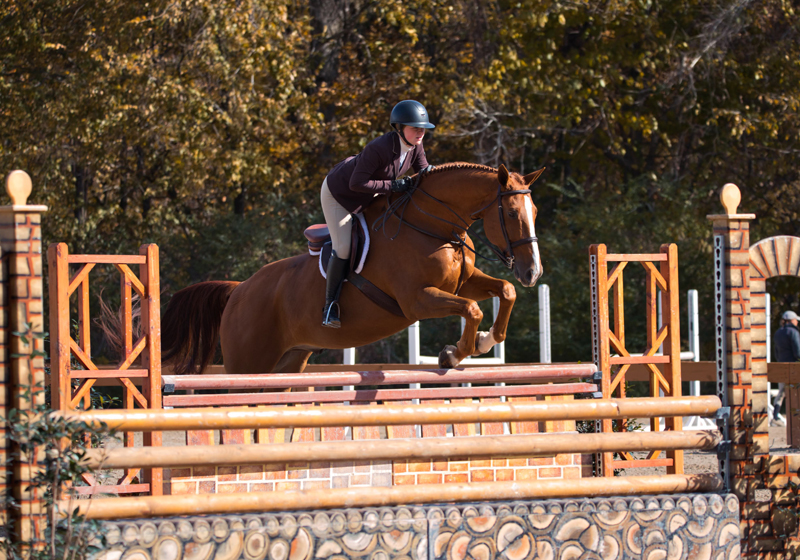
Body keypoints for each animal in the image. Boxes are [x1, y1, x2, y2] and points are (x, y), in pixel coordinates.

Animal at [166, 163, 548, 376]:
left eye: (535, 211)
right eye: (511, 213)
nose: (533, 273)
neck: (433, 226)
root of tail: (239, 289)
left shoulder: (462, 283)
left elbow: (503, 291)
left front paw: (484, 341)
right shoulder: (417, 301)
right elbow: (472, 309)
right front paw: (453, 354)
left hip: (287, 363)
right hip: (249, 365)